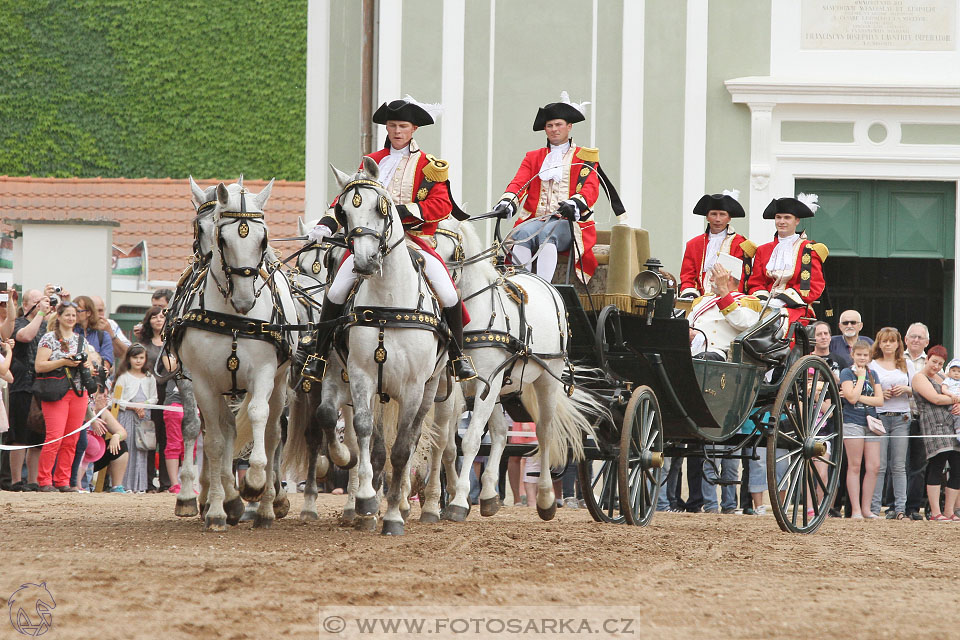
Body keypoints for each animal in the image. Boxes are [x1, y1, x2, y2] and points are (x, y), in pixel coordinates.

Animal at [178, 180, 298, 528]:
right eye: (220, 237)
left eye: (264, 238)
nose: (245, 299)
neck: (234, 317)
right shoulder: (201, 381)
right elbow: (214, 440)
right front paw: (217, 507)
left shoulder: (264, 373)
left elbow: (258, 416)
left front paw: (254, 482)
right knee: (224, 429)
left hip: (280, 383)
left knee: (272, 432)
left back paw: (268, 505)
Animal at [318, 160, 446, 536]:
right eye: (342, 212)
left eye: (382, 207)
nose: (364, 262)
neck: (389, 302)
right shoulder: (362, 377)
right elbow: (364, 435)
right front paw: (366, 501)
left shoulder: (414, 387)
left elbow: (402, 449)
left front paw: (392, 517)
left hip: (429, 389)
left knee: (413, 438)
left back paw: (402, 504)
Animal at [432, 220, 604, 520]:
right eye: (430, 245)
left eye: (455, 253)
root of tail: (548, 285)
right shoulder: (453, 386)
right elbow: (448, 443)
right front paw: (450, 496)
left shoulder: (486, 384)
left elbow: (471, 441)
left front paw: (458, 501)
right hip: (502, 388)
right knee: (501, 433)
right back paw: (489, 495)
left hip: (547, 380)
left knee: (545, 433)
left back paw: (546, 499)